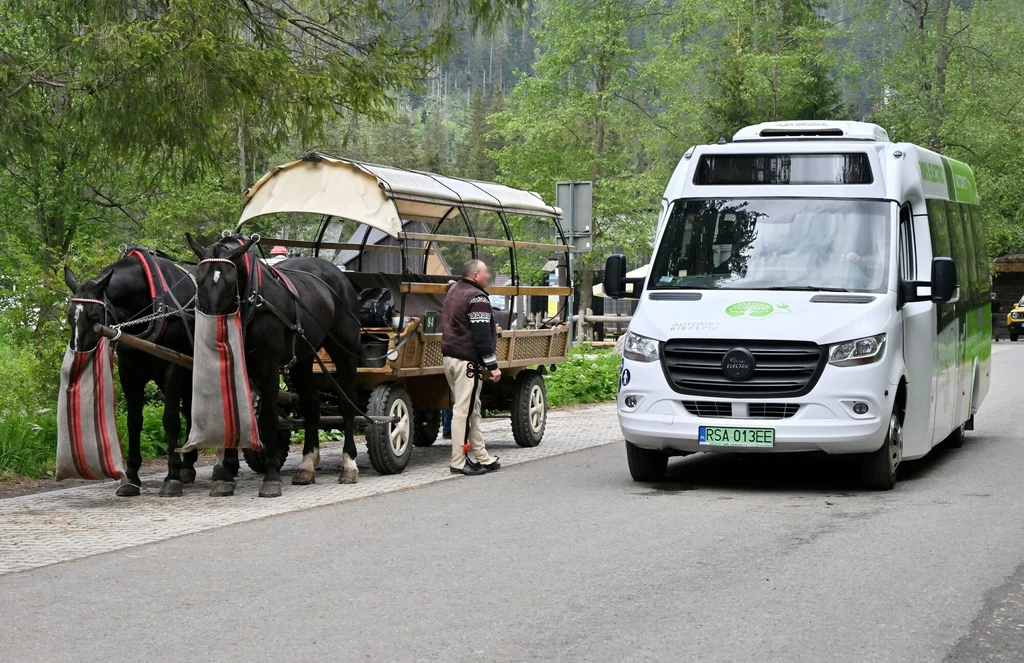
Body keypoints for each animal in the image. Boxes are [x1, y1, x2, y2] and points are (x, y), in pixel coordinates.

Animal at [66, 252, 199, 495]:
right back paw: (189, 465)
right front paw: (131, 476)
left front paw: (172, 476)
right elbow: (134, 421)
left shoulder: (174, 367)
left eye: (94, 316)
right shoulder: (129, 373)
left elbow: (170, 420)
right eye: (71, 316)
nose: (78, 355)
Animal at [186, 233, 362, 498]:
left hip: (344, 352)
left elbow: (268, 419)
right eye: (198, 279)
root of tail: (337, 275)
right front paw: (225, 476)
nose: (212, 327)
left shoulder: (268, 367)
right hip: (303, 359)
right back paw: (306, 466)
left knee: (347, 403)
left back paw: (349, 464)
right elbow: (234, 419)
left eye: (230, 281)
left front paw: (270, 477)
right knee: (311, 405)